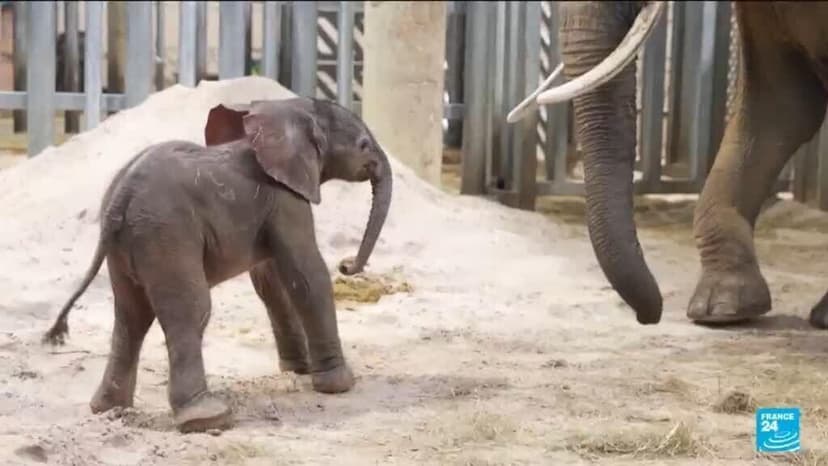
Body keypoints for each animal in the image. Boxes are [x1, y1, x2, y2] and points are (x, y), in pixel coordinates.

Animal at [41, 96, 393, 433]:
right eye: (363, 144)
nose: (347, 265)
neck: (287, 108)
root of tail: (120, 196)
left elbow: (272, 282)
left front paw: (299, 370)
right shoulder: (285, 200)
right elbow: (307, 275)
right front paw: (340, 385)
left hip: (127, 246)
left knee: (131, 316)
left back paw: (109, 409)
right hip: (167, 235)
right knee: (190, 311)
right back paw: (209, 418)